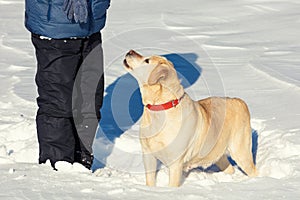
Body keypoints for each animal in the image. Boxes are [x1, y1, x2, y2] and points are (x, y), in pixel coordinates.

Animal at [123, 49, 256, 187]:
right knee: (230, 168)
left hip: (241, 151)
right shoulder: (148, 155)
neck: (161, 108)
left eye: (147, 61)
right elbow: (150, 180)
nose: (130, 51)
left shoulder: (175, 163)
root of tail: (239, 101)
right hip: (217, 153)